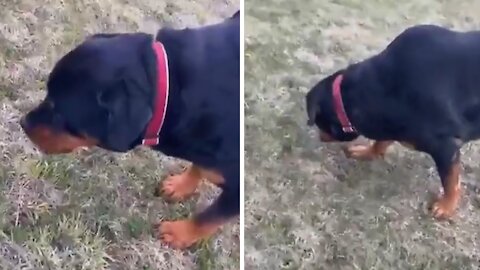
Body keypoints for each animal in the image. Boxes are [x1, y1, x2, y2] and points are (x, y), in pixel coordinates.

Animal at [21, 10, 240, 248]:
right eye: (47, 93)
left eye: (60, 112)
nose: (23, 122)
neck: (170, 88)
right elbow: (198, 166)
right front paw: (181, 186)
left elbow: (209, 218)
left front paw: (179, 233)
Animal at [306, 24, 480, 219]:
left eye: (319, 123)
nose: (320, 136)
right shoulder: (390, 123)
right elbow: (381, 142)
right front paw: (367, 152)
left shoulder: (445, 146)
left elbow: (450, 180)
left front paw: (446, 206)